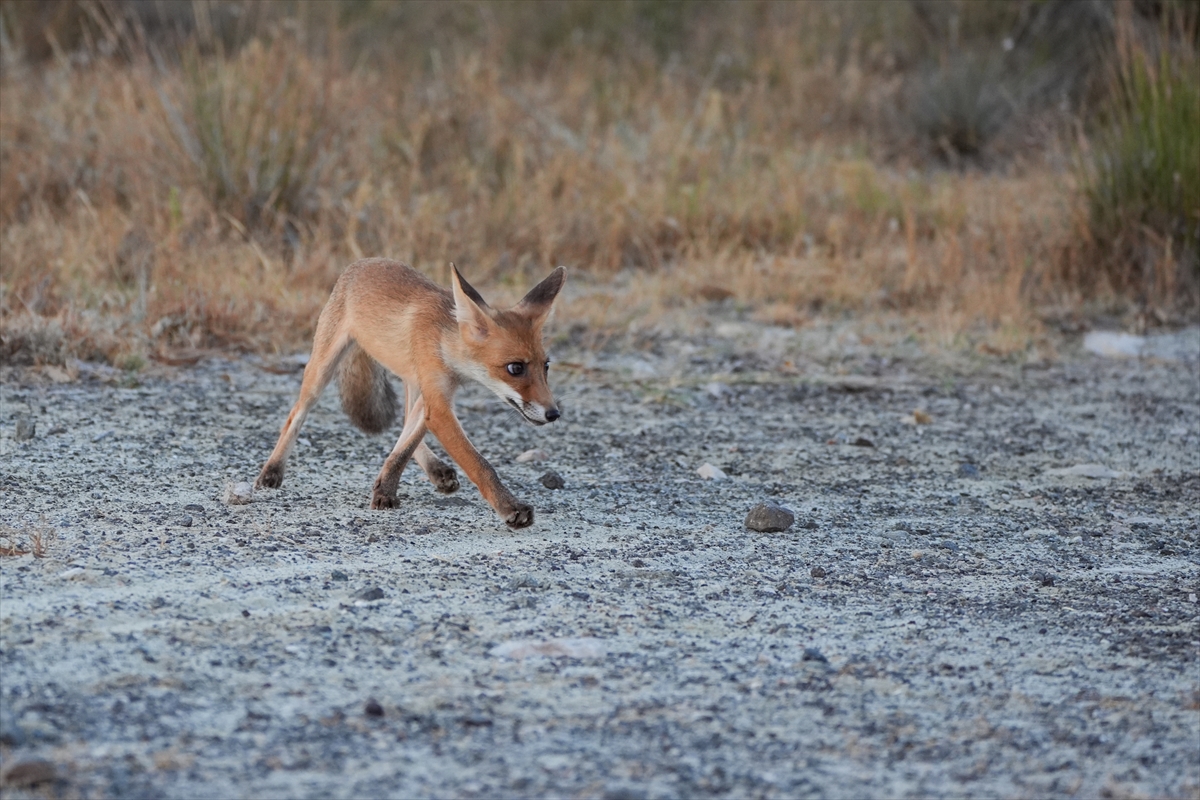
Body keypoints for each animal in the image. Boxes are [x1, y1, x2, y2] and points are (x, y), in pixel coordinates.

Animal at [255, 260, 564, 527]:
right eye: (515, 368)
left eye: (546, 366)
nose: (553, 413)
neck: (443, 342)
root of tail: (360, 263)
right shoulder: (437, 403)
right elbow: (479, 464)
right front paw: (510, 508)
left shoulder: (437, 394)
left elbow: (405, 447)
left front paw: (385, 489)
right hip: (322, 370)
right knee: (295, 415)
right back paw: (272, 470)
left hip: (412, 382)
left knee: (406, 421)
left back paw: (435, 469)